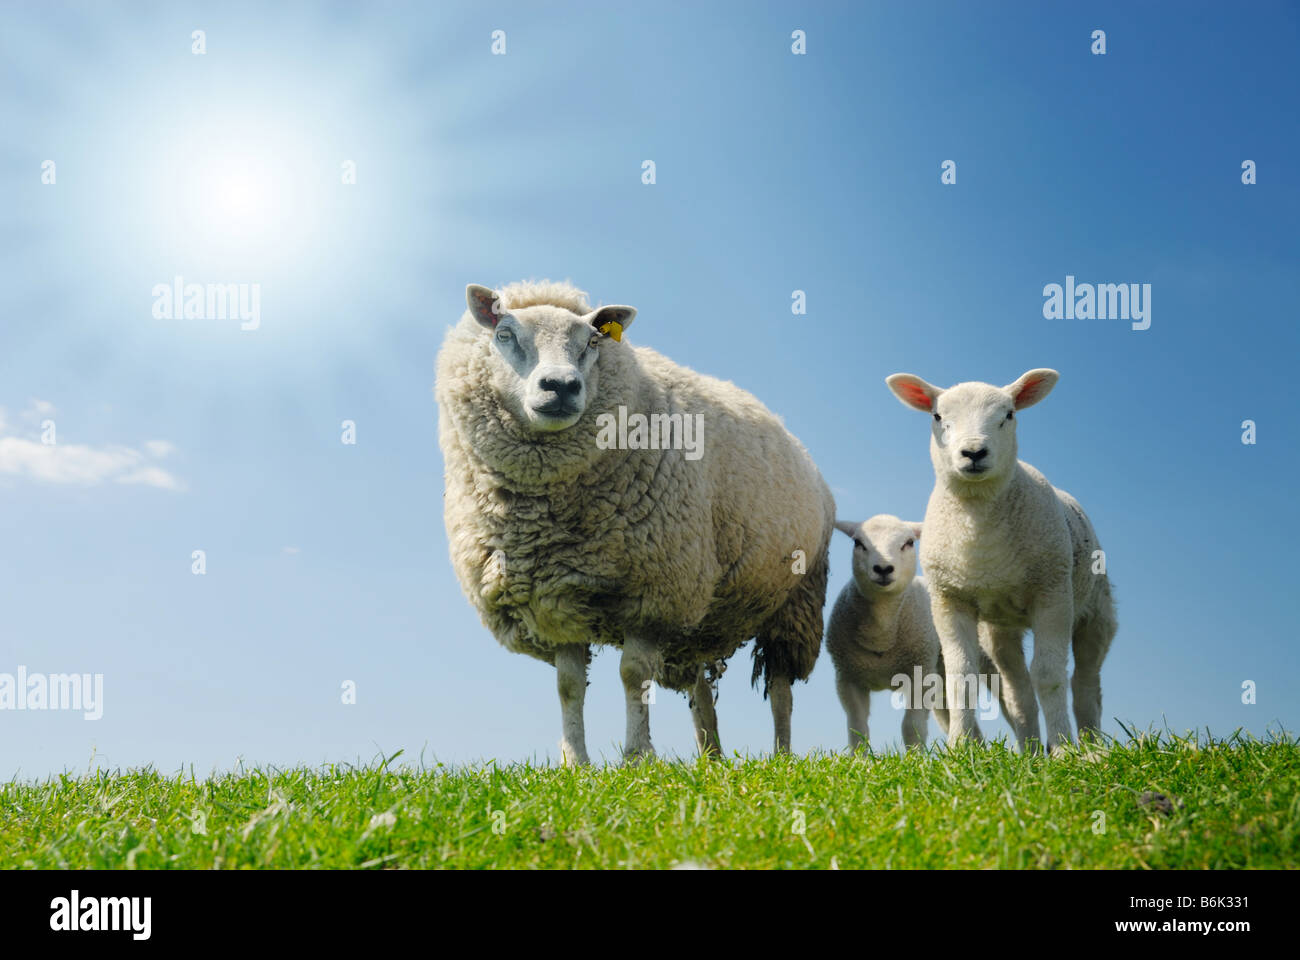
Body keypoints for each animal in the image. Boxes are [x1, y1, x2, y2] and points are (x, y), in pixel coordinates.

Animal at [436, 280, 835, 765]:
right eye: (505, 334)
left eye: (592, 342)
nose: (561, 386)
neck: (549, 516)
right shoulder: (554, 600)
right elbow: (568, 686)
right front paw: (576, 762)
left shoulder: (655, 593)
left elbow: (633, 675)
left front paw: (637, 755)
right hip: (699, 613)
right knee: (700, 689)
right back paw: (711, 758)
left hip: (794, 600)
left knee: (780, 687)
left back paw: (781, 754)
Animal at [885, 369, 1117, 752]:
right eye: (937, 416)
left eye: (1008, 415)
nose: (973, 452)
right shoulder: (949, 599)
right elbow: (961, 677)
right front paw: (960, 746)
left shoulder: (1052, 593)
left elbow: (1049, 675)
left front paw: (1063, 749)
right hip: (999, 630)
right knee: (1017, 690)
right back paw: (1031, 750)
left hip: (1095, 612)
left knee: (1086, 683)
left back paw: (1091, 745)